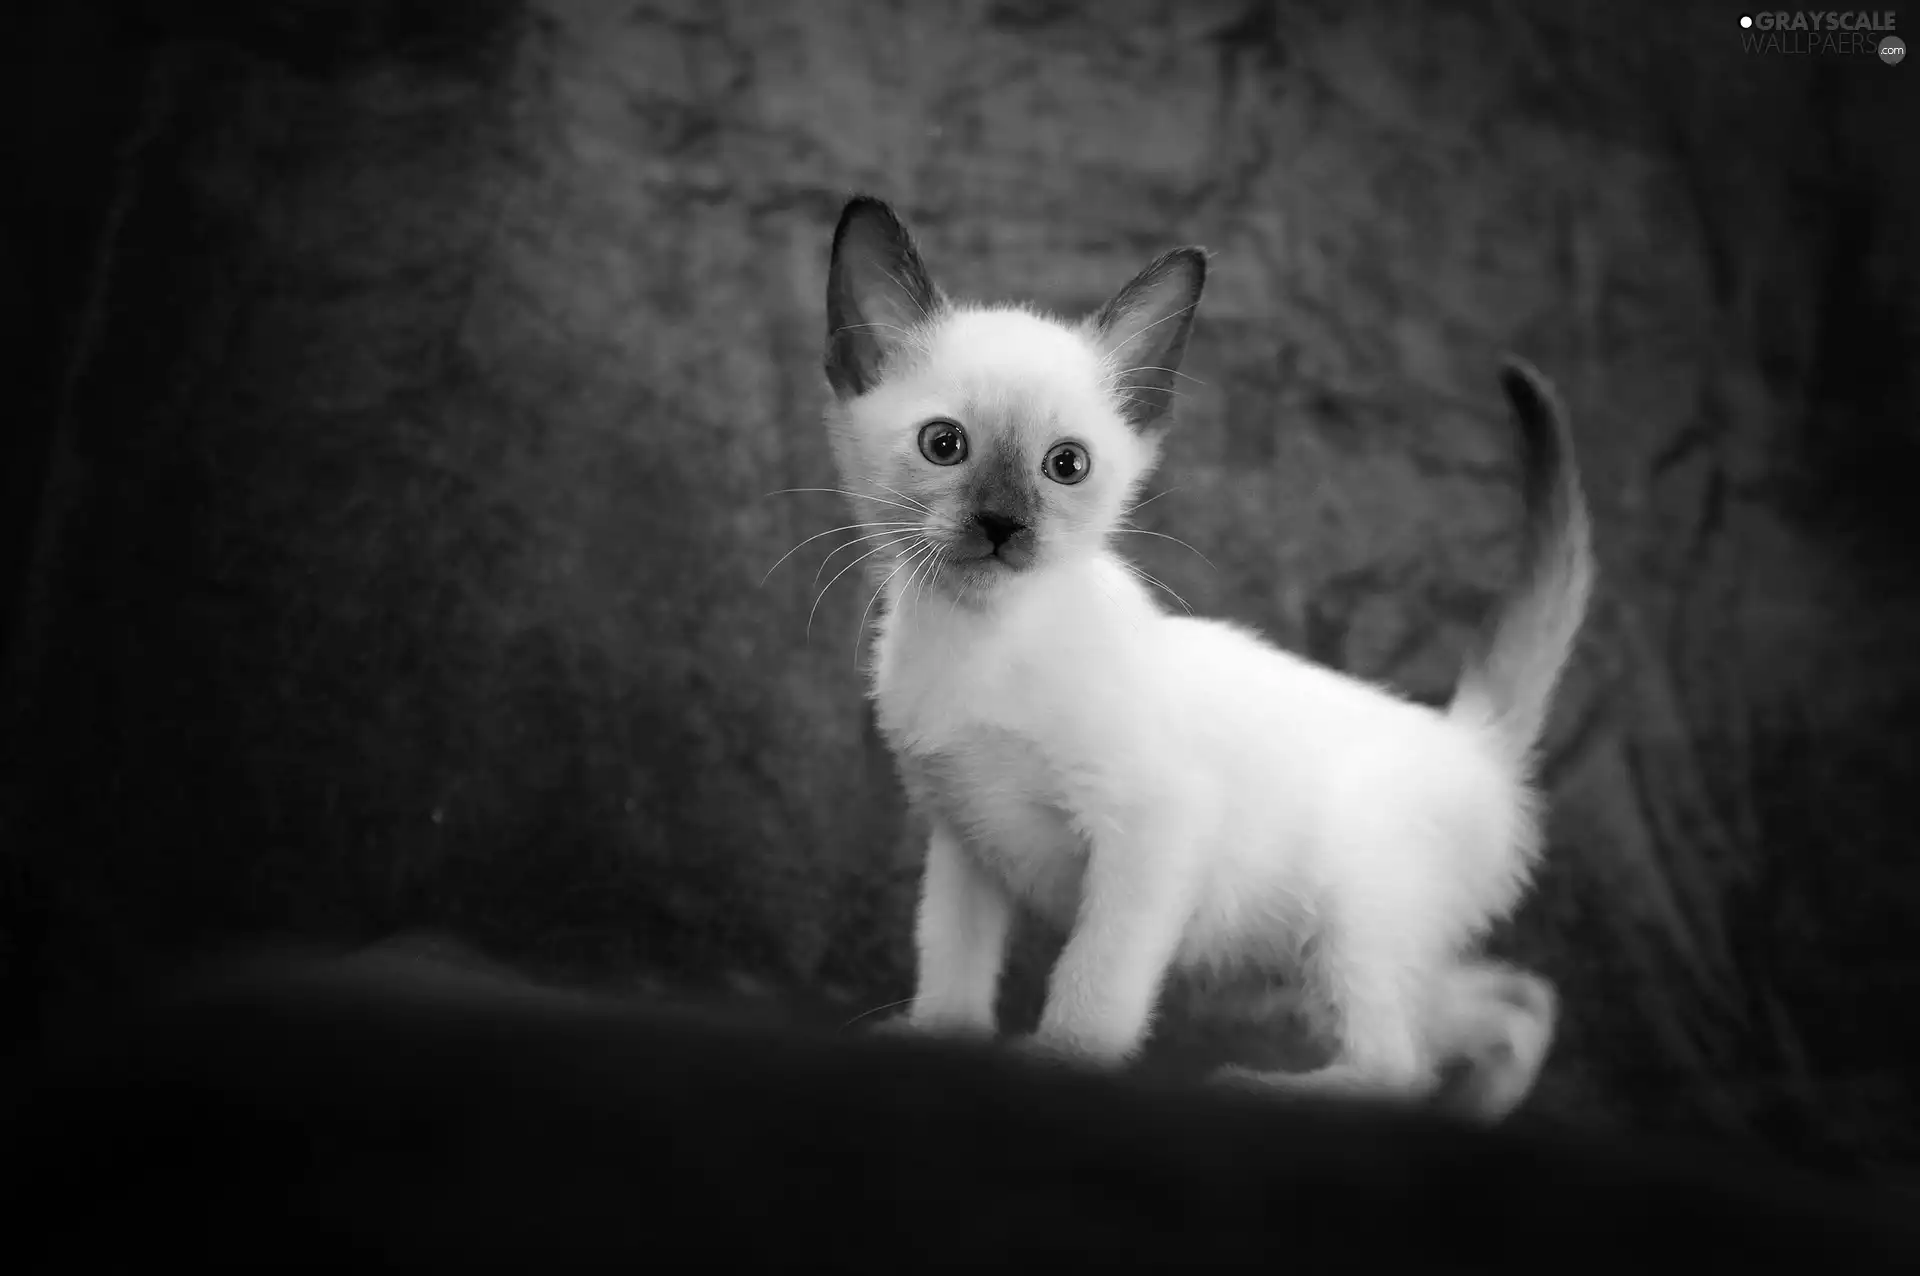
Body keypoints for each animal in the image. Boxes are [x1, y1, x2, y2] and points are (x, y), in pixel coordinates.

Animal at [817, 193, 1597, 1120]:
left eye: (1065, 466)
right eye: (945, 446)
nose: (1003, 525)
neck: (977, 639)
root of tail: (1469, 738)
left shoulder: (1153, 832)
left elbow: (1093, 986)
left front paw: (1056, 1066)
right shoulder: (966, 838)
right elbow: (953, 964)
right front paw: (940, 1045)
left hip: (1347, 919)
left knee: (1398, 1067)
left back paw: (1264, 1090)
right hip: (1309, 960)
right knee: (1516, 1004)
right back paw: (1475, 1114)